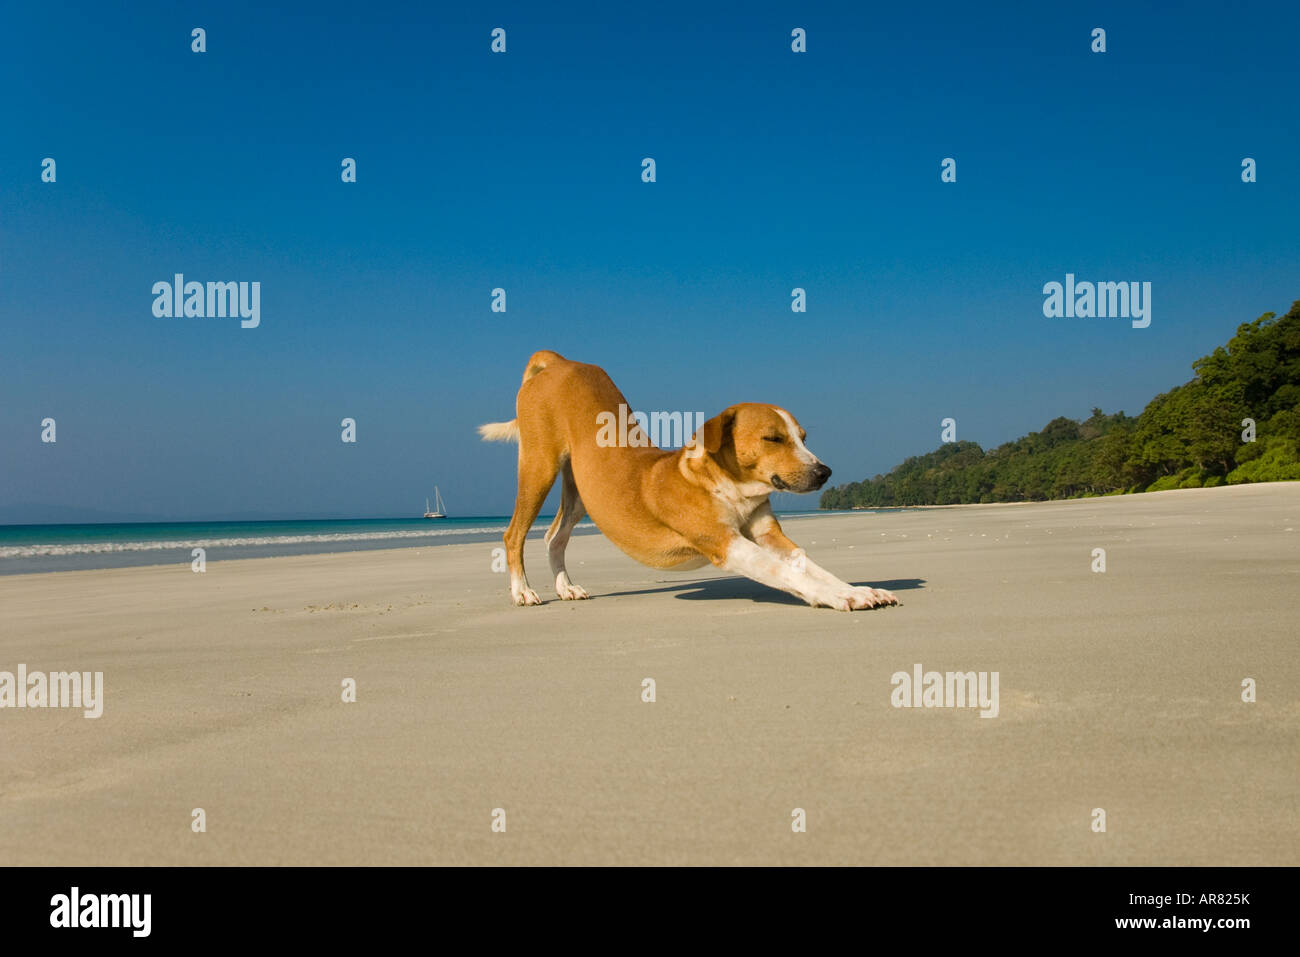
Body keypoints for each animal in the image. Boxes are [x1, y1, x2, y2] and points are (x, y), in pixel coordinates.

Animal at [475, 351, 894, 613]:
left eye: (803, 437)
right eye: (774, 438)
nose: (825, 472)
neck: (727, 487)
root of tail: (561, 362)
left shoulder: (769, 536)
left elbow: (808, 565)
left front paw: (855, 589)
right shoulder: (726, 543)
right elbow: (786, 573)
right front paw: (840, 598)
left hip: (580, 492)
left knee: (553, 537)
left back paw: (566, 588)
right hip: (538, 467)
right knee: (514, 534)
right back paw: (523, 592)